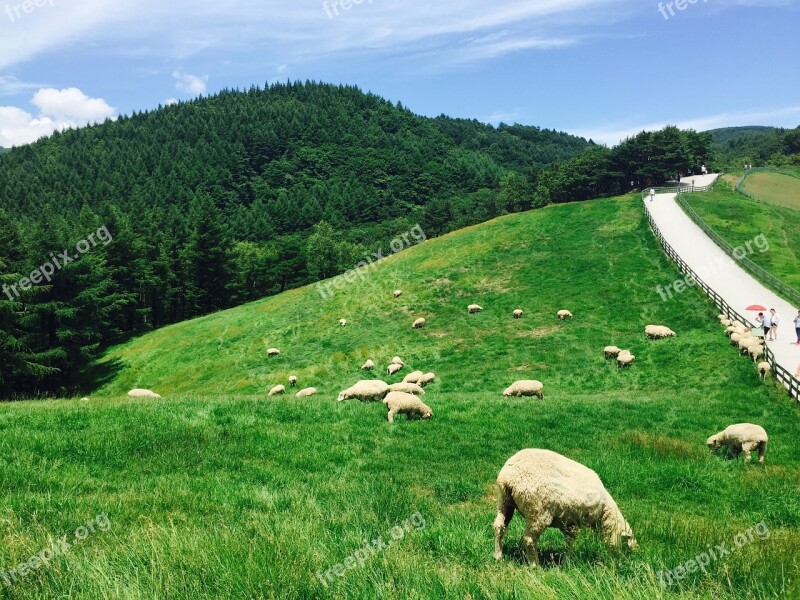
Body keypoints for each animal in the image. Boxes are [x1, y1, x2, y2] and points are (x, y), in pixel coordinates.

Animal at [494, 448, 636, 564]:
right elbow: (571, 542)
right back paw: (535, 565)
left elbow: (569, 541)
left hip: (504, 502)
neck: (604, 515)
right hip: (538, 511)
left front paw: (568, 560)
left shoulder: (568, 523)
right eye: (626, 545)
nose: (624, 562)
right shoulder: (575, 521)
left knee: (499, 526)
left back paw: (498, 556)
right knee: (529, 539)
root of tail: (509, 476)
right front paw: (569, 560)